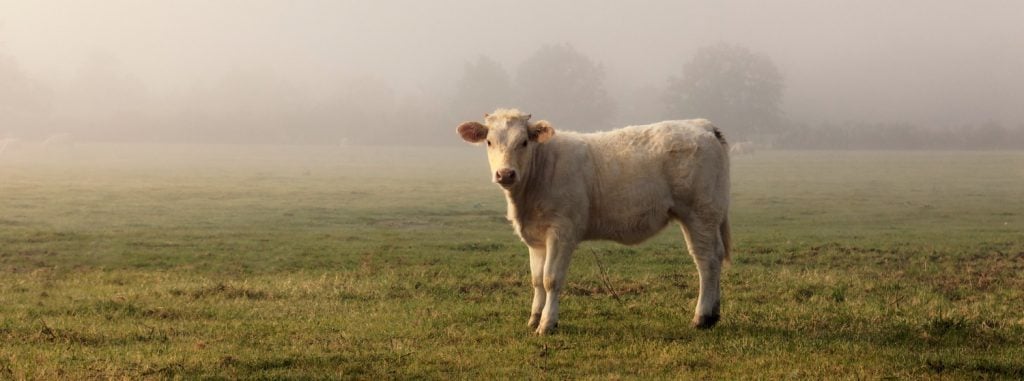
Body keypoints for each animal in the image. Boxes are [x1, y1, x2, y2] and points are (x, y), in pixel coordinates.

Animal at [456, 108, 729, 333]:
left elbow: (550, 279)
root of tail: (702, 124)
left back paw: (701, 317)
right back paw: (714, 314)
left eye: (523, 142)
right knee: (716, 255)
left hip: (699, 213)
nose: (505, 174)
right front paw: (534, 318)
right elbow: (536, 279)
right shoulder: (536, 237)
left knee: (706, 260)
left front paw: (547, 323)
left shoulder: (562, 231)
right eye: (489, 141)